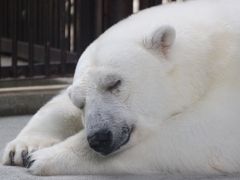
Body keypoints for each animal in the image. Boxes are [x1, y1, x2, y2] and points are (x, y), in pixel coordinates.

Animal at [1, 0, 240, 176]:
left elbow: (207, 132)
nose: (99, 137)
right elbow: (60, 105)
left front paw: (43, 157)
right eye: (80, 103)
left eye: (115, 83)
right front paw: (24, 148)